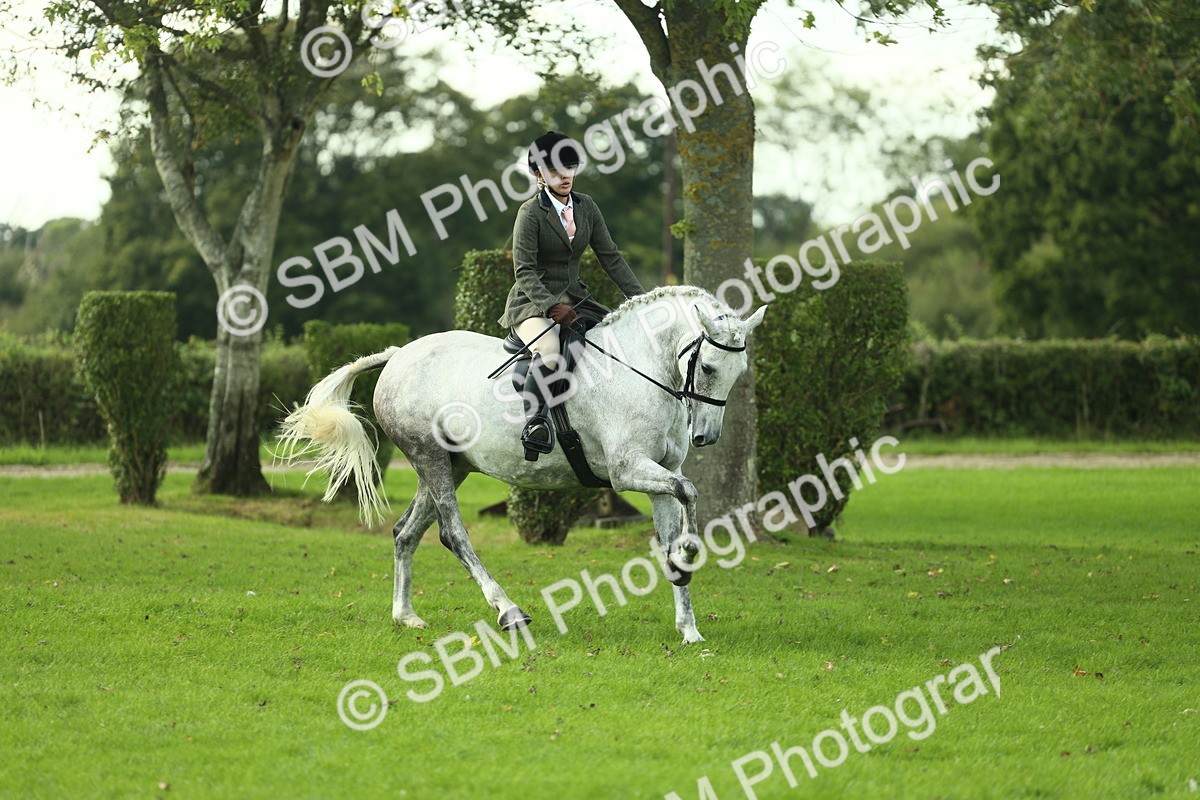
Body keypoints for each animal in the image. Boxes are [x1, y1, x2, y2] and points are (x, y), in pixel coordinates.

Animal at [276, 285, 766, 644]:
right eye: (708, 367)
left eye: (739, 371)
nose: (705, 437)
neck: (638, 368)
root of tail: (398, 354)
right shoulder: (628, 471)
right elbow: (690, 491)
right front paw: (691, 551)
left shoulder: (659, 470)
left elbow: (670, 525)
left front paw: (688, 627)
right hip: (430, 458)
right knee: (453, 533)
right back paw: (508, 610)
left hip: (452, 465)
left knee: (405, 532)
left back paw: (406, 615)